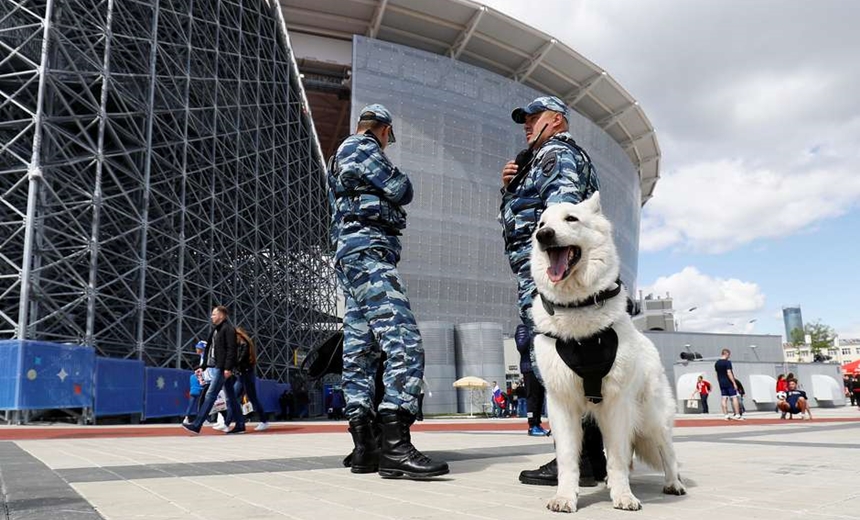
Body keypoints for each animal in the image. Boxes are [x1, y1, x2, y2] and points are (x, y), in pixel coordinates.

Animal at [532, 194, 684, 512]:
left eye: (571, 219)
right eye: (541, 224)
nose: (544, 235)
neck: (578, 307)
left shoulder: (616, 403)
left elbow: (616, 457)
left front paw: (624, 496)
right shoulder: (562, 405)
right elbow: (568, 459)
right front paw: (565, 497)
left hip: (652, 417)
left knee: (667, 451)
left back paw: (673, 483)